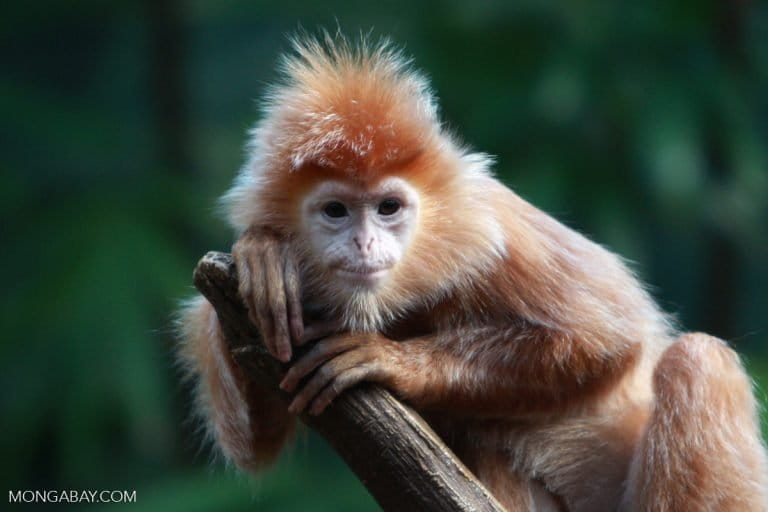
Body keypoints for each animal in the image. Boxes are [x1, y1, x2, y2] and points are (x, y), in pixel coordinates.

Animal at [177, 34, 764, 510]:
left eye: (388, 207)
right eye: (336, 211)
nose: (364, 242)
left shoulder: (494, 225)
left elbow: (607, 335)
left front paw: (391, 360)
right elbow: (255, 442)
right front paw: (262, 256)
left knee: (697, 359)